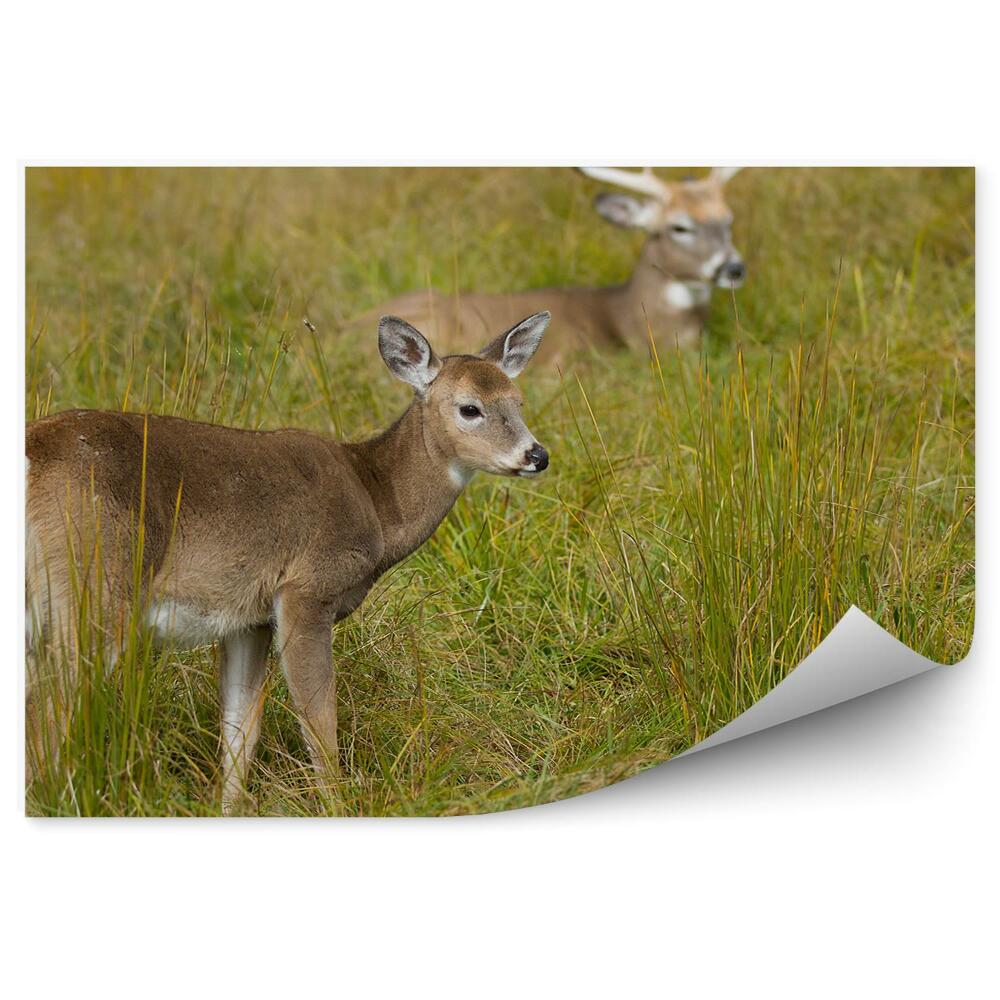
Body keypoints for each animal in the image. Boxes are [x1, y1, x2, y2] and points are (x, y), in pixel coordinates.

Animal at [25, 312, 551, 813]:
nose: (537, 455)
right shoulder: (307, 588)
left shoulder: (247, 618)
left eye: (519, 402)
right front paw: (339, 806)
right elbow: (319, 722)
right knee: (48, 714)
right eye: (470, 408)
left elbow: (241, 729)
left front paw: (230, 810)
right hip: (95, 584)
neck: (376, 501)